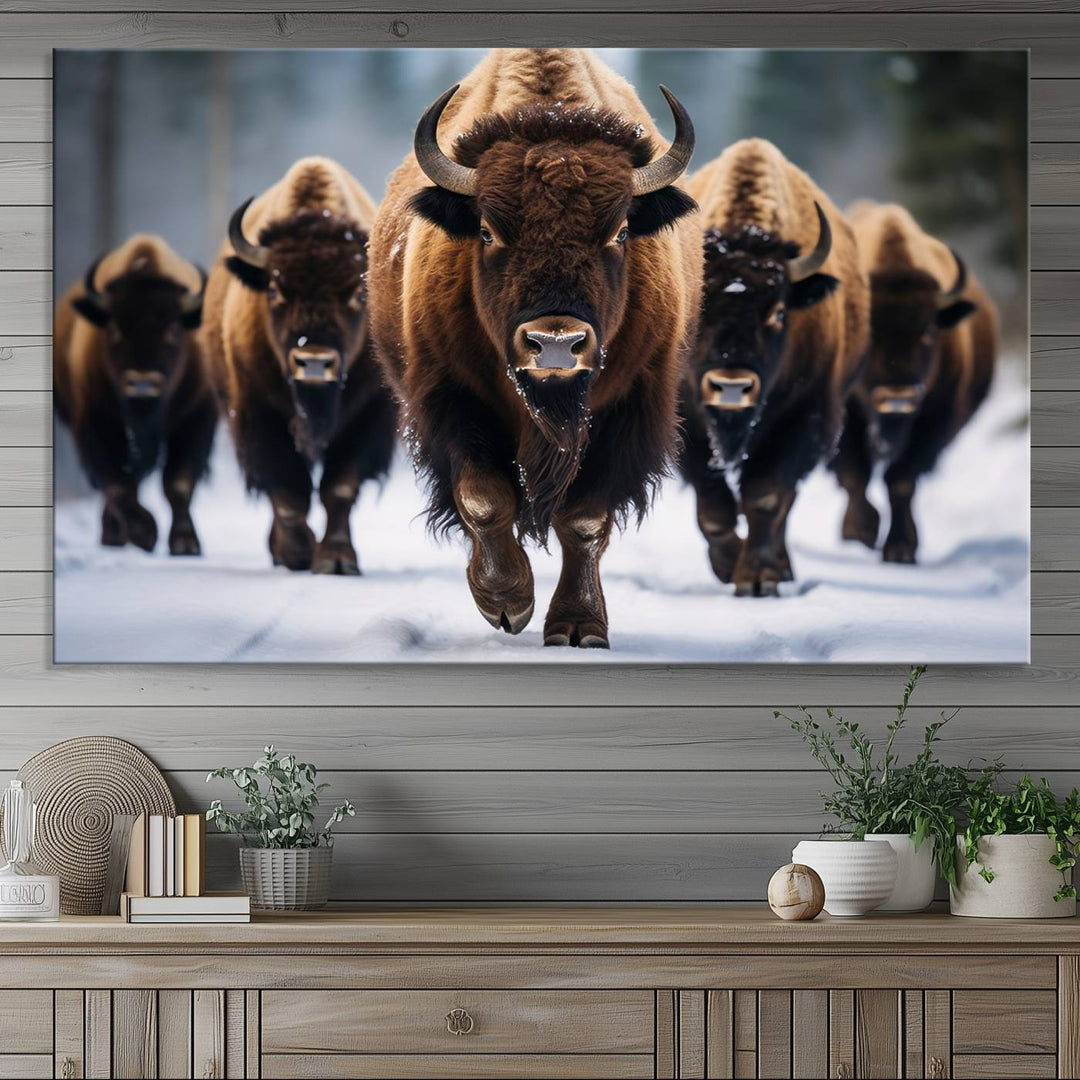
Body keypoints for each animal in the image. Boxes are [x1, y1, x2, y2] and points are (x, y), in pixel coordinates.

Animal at [54, 237, 214, 557]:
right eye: (114, 329)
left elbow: (178, 483)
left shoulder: (195, 419)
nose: (141, 384)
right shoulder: (97, 424)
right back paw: (114, 536)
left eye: (173, 330)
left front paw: (185, 543)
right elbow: (118, 485)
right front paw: (144, 533)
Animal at [200, 157, 395, 574]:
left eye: (359, 292)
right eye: (274, 289)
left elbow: (339, 487)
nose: (315, 361)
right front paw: (298, 553)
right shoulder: (260, 413)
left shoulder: (368, 416)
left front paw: (336, 559)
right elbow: (288, 490)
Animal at [371, 46, 704, 643]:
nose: (554, 344)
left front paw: (578, 625)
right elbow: (483, 498)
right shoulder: (451, 399)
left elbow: (585, 519)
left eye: (620, 231)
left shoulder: (628, 409)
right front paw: (507, 602)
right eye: (486, 230)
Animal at [678, 139, 872, 596]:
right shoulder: (689, 423)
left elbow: (766, 497)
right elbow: (714, 507)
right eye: (700, 306)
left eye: (780, 312)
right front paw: (728, 565)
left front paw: (758, 578)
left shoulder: (802, 418)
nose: (732, 387)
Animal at [829, 197, 997, 561]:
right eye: (869, 334)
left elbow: (901, 481)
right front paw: (860, 533)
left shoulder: (931, 422)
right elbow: (854, 474)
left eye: (928, 332)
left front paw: (901, 548)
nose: (897, 397)